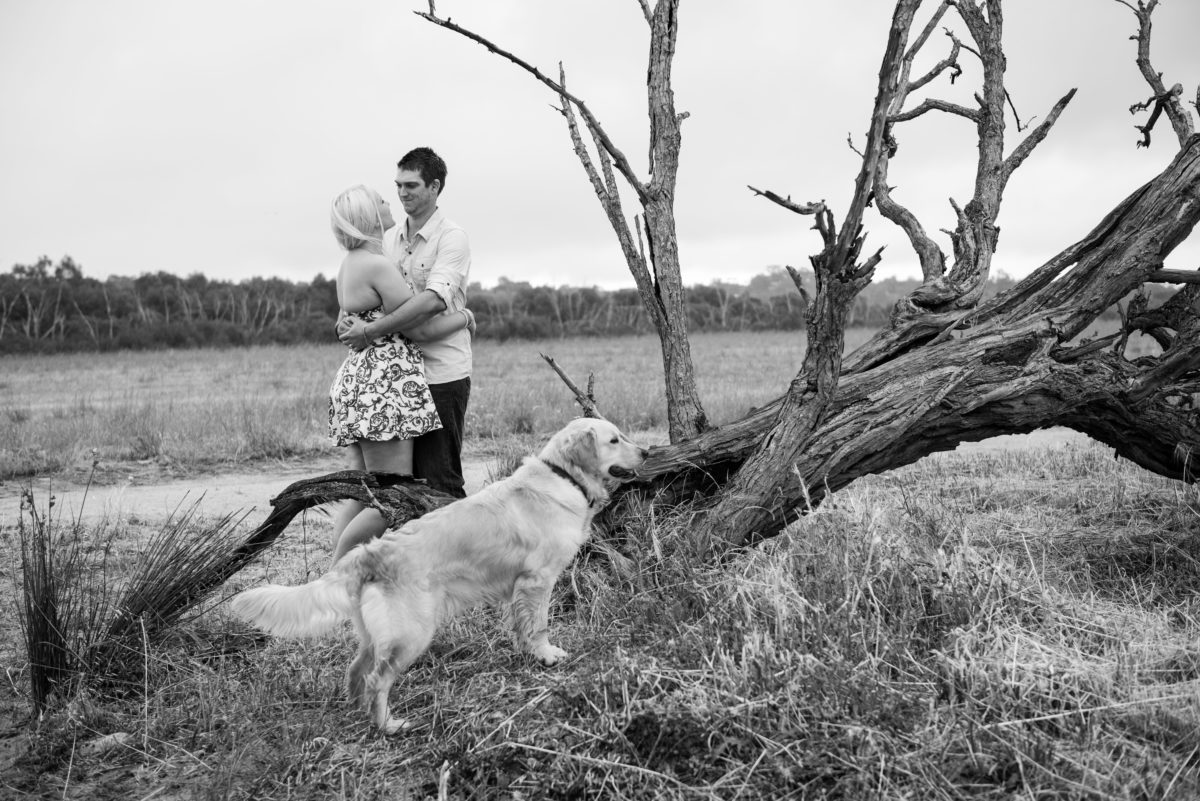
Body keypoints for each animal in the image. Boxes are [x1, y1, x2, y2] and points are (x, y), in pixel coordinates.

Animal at [230, 417, 652, 733]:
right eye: (614, 439)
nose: (648, 451)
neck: (564, 476)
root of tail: (368, 553)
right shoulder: (537, 580)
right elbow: (539, 624)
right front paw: (546, 655)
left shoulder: (518, 587)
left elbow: (520, 626)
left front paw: (528, 653)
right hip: (412, 632)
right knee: (377, 680)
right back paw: (389, 726)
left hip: (378, 633)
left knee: (356, 670)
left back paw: (358, 712)